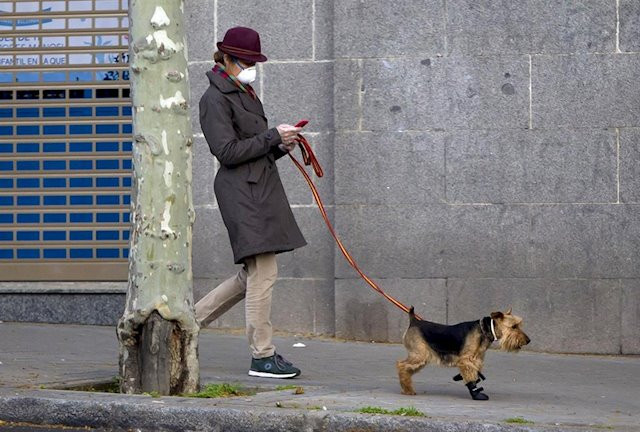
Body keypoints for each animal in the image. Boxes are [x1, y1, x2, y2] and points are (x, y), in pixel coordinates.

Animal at [396, 306, 528, 400]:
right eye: (514, 326)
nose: (528, 340)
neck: (484, 330)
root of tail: (413, 321)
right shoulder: (466, 360)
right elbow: (470, 375)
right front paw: (476, 394)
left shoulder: (477, 359)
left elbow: (474, 374)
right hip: (420, 355)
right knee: (401, 365)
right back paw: (408, 390)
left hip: (421, 358)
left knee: (406, 369)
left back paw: (406, 388)